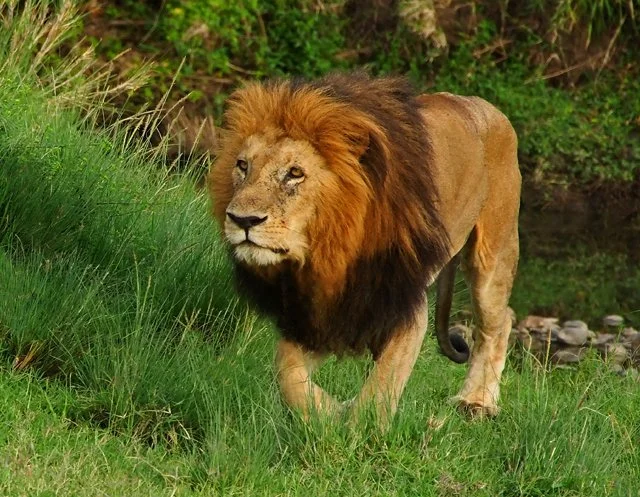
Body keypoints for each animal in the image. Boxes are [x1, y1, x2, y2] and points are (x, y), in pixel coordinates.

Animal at [208, 72, 521, 427]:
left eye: (295, 173)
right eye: (242, 165)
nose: (242, 219)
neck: (329, 247)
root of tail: (479, 103)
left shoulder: (407, 309)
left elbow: (381, 388)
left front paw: (359, 432)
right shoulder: (314, 309)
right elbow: (285, 369)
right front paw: (326, 411)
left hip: (493, 253)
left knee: (499, 323)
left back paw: (477, 402)